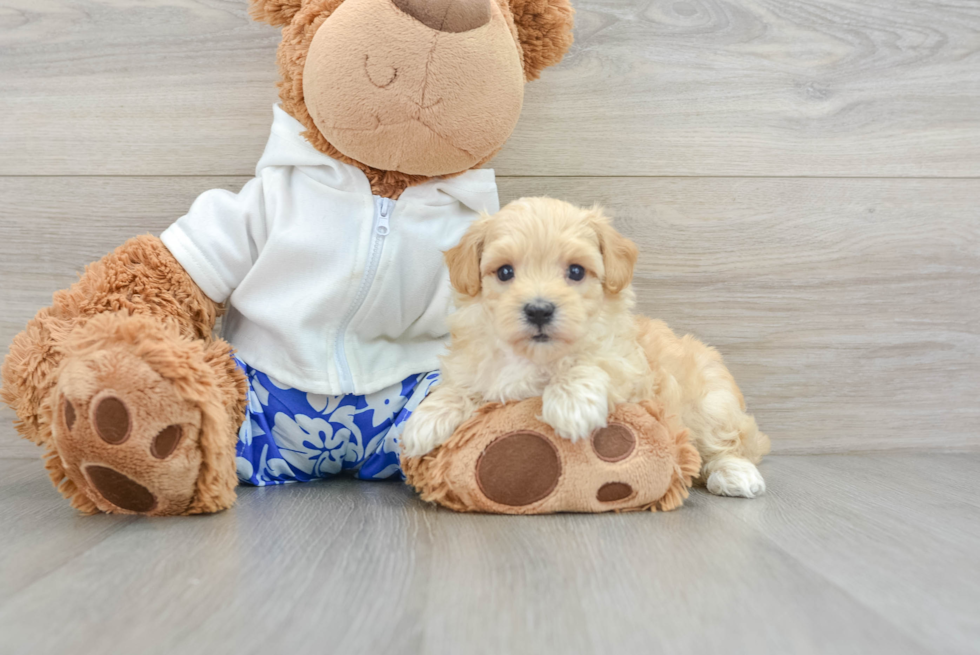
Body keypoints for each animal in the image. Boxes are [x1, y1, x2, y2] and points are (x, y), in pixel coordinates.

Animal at [402, 197, 768, 500]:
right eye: (505, 272)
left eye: (576, 271)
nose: (539, 310)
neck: (536, 358)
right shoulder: (477, 367)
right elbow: (459, 386)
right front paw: (425, 421)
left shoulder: (630, 369)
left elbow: (593, 363)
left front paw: (570, 405)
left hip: (710, 404)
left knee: (731, 444)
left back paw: (736, 475)